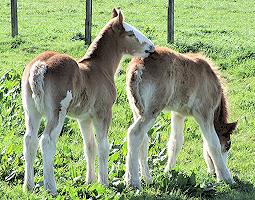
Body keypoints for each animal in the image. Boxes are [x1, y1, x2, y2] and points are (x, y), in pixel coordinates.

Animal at [22, 8, 153, 194]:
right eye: (131, 33)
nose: (151, 47)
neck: (100, 68)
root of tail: (39, 66)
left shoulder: (84, 118)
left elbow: (89, 147)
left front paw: (90, 181)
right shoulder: (103, 113)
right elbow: (103, 146)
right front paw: (104, 182)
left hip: (31, 112)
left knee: (30, 140)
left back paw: (29, 186)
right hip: (57, 113)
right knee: (47, 141)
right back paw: (51, 188)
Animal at [125, 46, 237, 188]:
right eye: (227, 145)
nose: (214, 173)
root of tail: (138, 65)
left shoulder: (178, 113)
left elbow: (176, 141)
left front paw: (168, 172)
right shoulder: (204, 113)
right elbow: (213, 143)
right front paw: (227, 178)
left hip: (137, 109)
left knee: (143, 139)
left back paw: (147, 178)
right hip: (151, 110)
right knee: (134, 133)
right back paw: (133, 181)